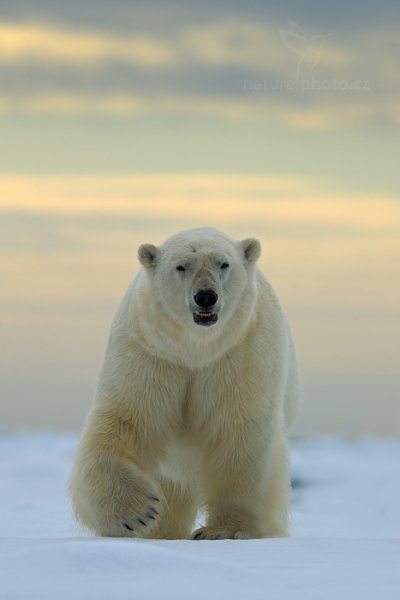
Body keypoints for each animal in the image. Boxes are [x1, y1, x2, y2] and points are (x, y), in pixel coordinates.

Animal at [69, 227, 300, 540]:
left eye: (223, 264)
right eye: (181, 266)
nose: (206, 296)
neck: (194, 349)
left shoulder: (241, 353)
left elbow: (240, 433)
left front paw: (225, 530)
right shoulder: (152, 354)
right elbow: (126, 419)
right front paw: (137, 513)